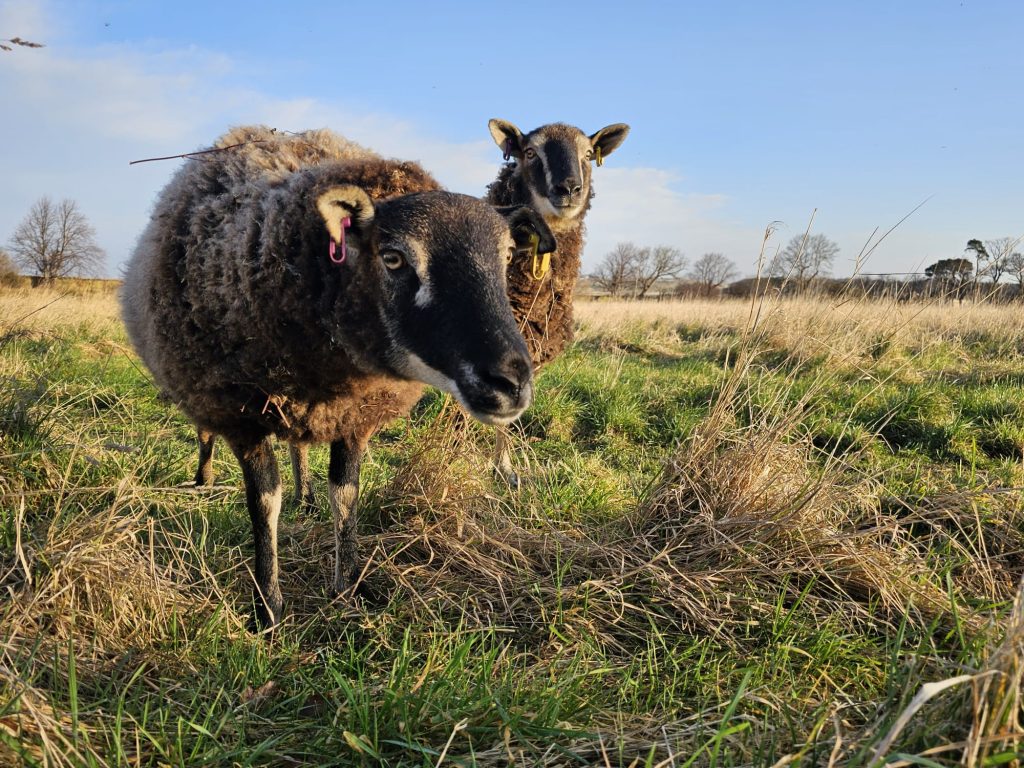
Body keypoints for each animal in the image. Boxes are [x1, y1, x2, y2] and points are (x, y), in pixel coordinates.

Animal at [121, 125, 555, 628]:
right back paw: (204, 478)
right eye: (393, 258)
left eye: (507, 257)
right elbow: (263, 502)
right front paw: (267, 608)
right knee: (206, 434)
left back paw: (305, 494)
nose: (511, 383)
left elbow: (346, 494)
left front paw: (349, 586)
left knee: (299, 445)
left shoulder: (354, 414)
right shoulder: (241, 416)